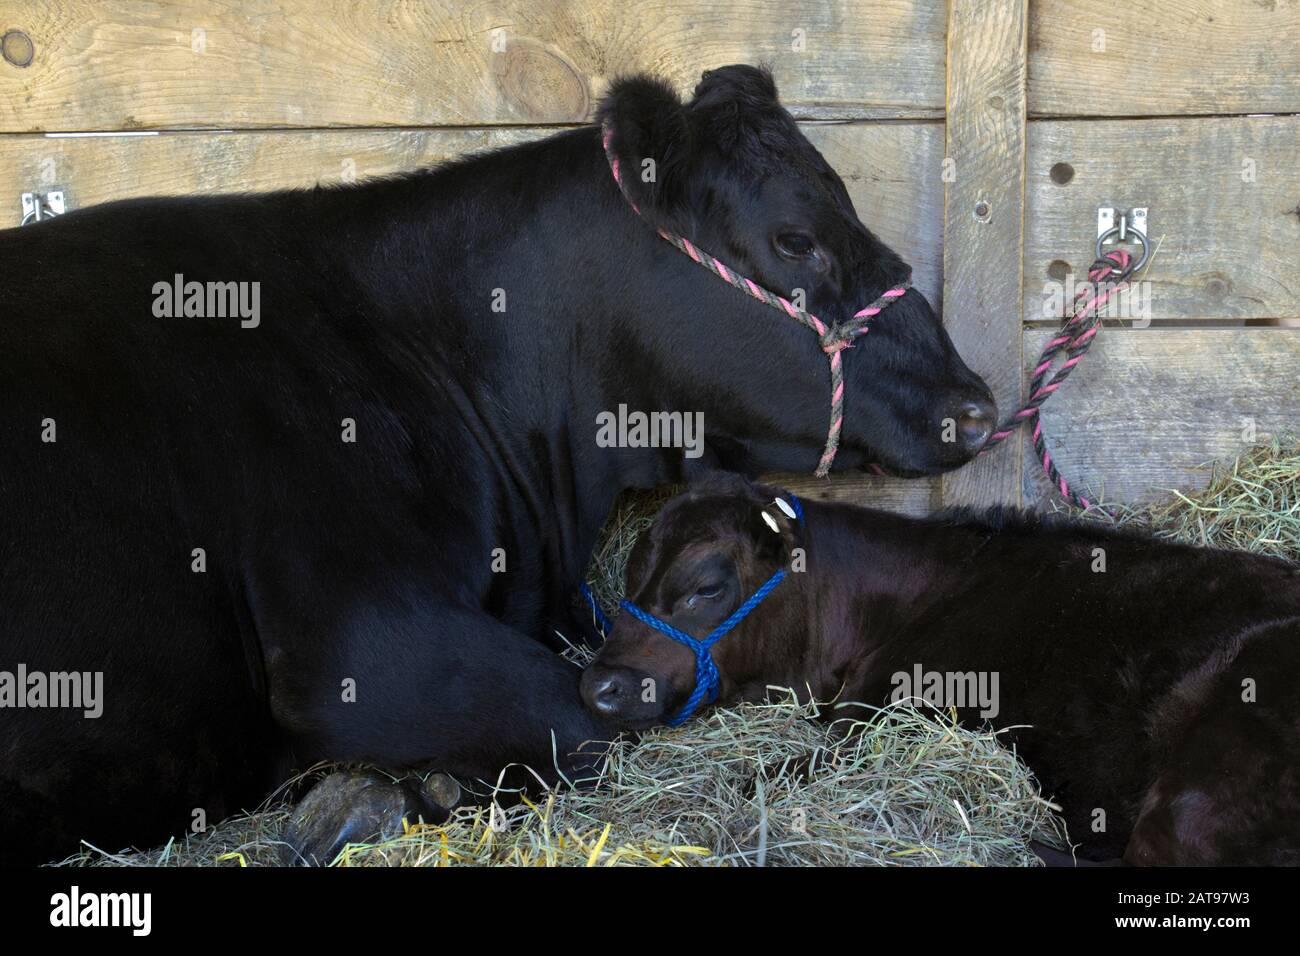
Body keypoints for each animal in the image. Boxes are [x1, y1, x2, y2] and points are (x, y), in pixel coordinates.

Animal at [587, 476, 1300, 863]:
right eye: (629, 572)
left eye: (706, 586)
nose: (598, 686)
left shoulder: (876, 720)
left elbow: (754, 779)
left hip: (1202, 784)